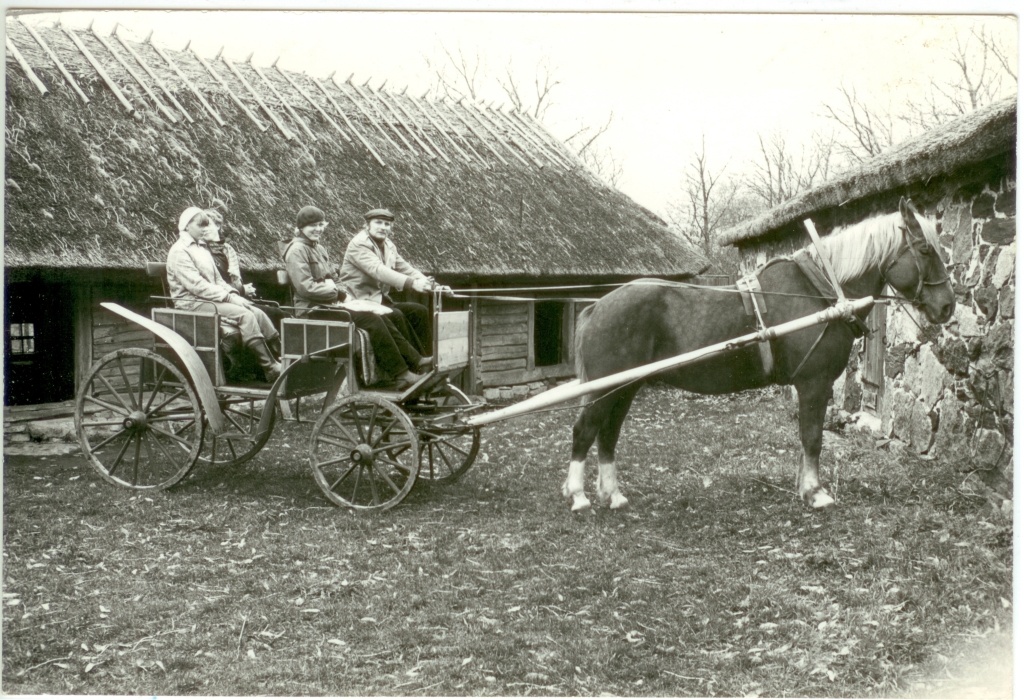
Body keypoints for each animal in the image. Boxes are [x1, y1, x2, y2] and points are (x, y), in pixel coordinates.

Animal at [565, 199, 954, 511]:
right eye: (924, 250)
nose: (947, 306)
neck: (821, 292)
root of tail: (596, 308)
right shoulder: (814, 383)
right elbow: (812, 437)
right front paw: (815, 492)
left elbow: (806, 437)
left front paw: (805, 487)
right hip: (607, 388)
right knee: (585, 430)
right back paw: (578, 495)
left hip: (625, 388)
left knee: (608, 434)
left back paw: (612, 494)